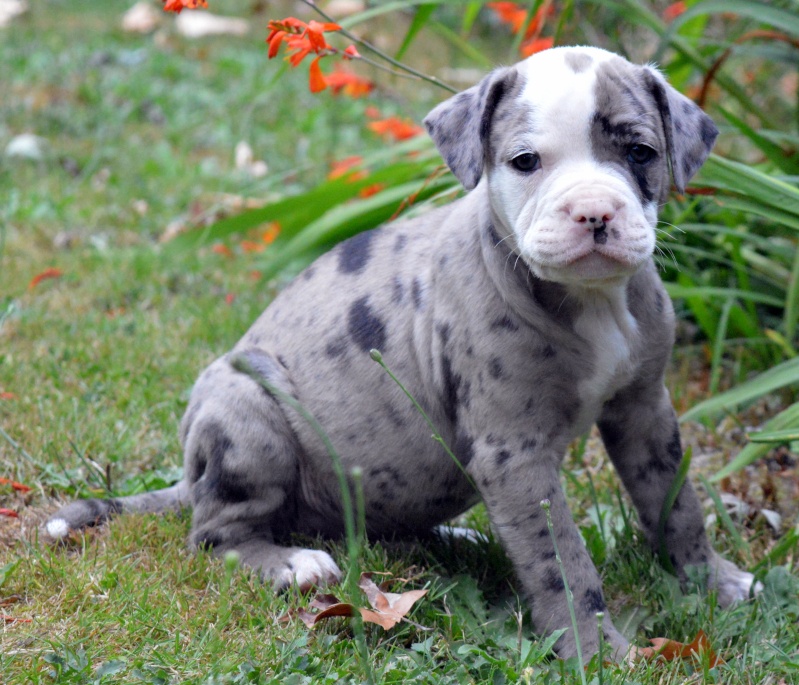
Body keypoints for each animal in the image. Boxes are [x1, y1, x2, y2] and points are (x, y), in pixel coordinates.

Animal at [47, 45, 760, 660]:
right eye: (526, 161)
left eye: (640, 151)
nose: (593, 213)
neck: (591, 300)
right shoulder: (516, 454)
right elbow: (563, 561)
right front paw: (596, 652)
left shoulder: (645, 411)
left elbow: (676, 503)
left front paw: (713, 581)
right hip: (248, 416)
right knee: (216, 533)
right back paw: (288, 562)